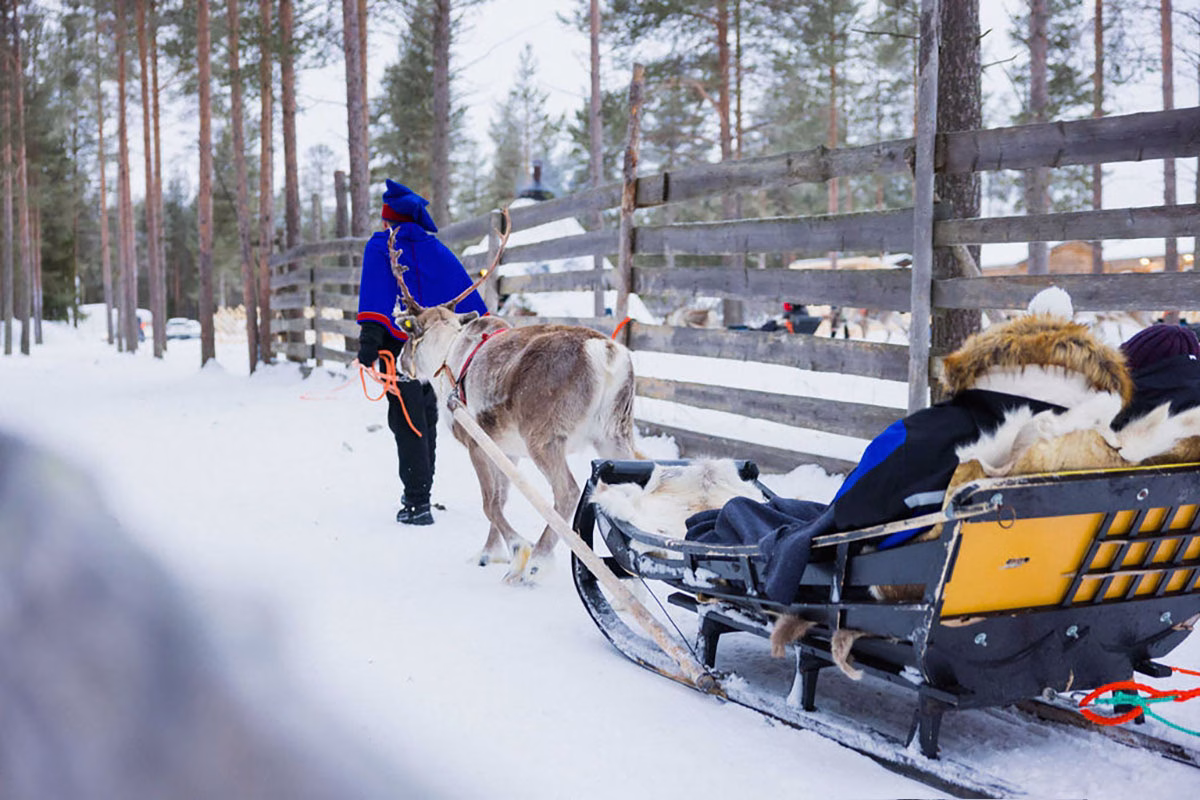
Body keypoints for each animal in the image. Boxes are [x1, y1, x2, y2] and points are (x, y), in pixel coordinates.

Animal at [385, 217, 638, 584]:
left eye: (406, 336)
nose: (400, 364)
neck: (446, 356)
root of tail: (605, 352)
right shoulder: (507, 450)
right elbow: (501, 498)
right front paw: (489, 553)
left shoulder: (476, 441)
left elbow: (489, 502)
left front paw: (518, 549)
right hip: (615, 434)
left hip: (544, 437)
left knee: (567, 493)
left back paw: (538, 562)